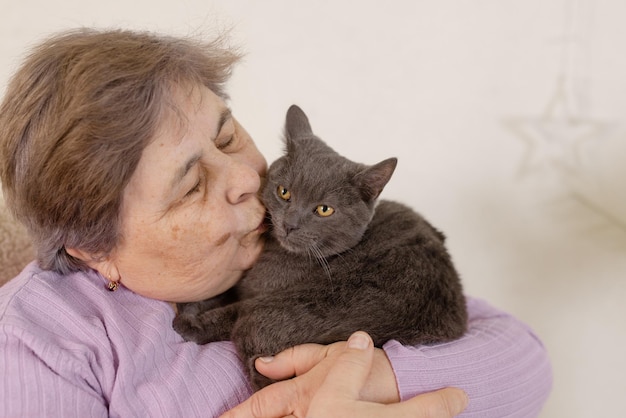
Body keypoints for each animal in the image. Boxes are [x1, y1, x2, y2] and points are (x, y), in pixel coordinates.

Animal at [173, 104, 466, 388]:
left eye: (324, 209)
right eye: (284, 192)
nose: (290, 224)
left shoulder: (258, 298)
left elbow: (232, 310)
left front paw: (189, 317)